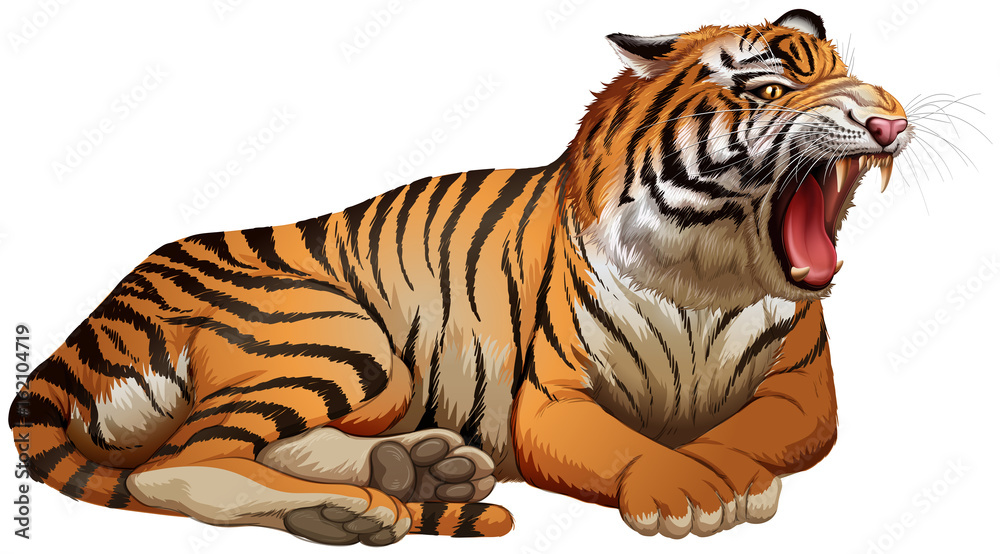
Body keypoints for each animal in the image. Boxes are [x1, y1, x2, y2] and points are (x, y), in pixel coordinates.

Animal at [9, 8, 911, 545]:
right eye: (773, 87)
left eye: (853, 74)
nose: (890, 119)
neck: (707, 270)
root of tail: (103, 309)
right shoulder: (553, 400)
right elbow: (635, 448)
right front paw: (689, 489)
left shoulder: (803, 393)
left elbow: (740, 433)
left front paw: (733, 479)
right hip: (341, 337)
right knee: (174, 463)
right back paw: (362, 505)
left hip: (382, 376)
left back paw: (412, 472)